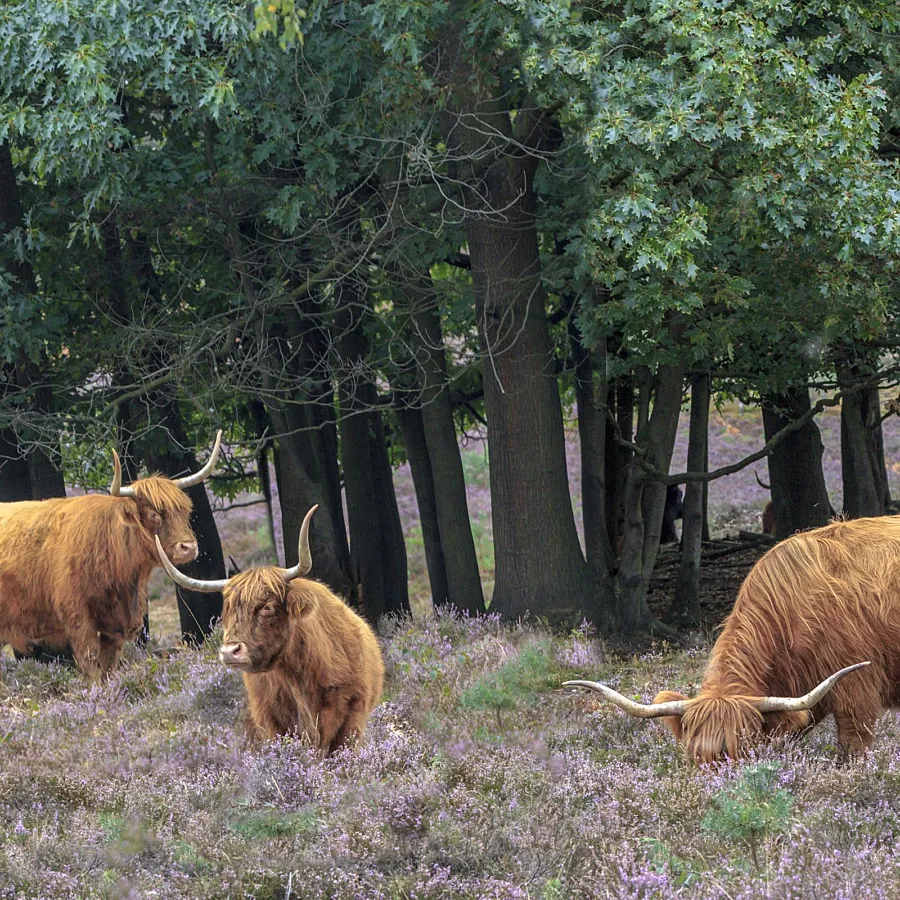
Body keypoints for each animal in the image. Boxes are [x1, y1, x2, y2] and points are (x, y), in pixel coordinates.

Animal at [0, 432, 221, 680]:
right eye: (154, 514)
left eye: (185, 510)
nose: (189, 547)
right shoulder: (77, 617)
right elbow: (91, 665)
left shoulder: (114, 628)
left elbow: (108, 668)